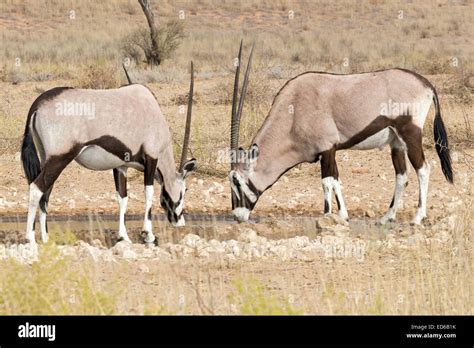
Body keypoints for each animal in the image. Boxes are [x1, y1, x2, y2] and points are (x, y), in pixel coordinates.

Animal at [20, 62, 196, 245]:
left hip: (47, 158)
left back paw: (46, 239)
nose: (179, 221)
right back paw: (30, 239)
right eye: (185, 189)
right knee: (36, 189)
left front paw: (124, 236)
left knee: (45, 194)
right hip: (60, 158)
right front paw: (149, 235)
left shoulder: (121, 166)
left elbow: (122, 198)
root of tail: (38, 104)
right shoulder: (151, 157)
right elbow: (148, 192)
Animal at [229, 42, 452, 224]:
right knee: (401, 176)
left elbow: (327, 181)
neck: (293, 112)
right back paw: (387, 217)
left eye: (236, 180)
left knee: (423, 169)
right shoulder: (328, 151)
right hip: (396, 142)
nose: (237, 216)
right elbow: (333, 180)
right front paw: (339, 214)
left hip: (410, 133)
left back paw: (417, 217)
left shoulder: (327, 149)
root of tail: (426, 84)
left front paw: (330, 215)